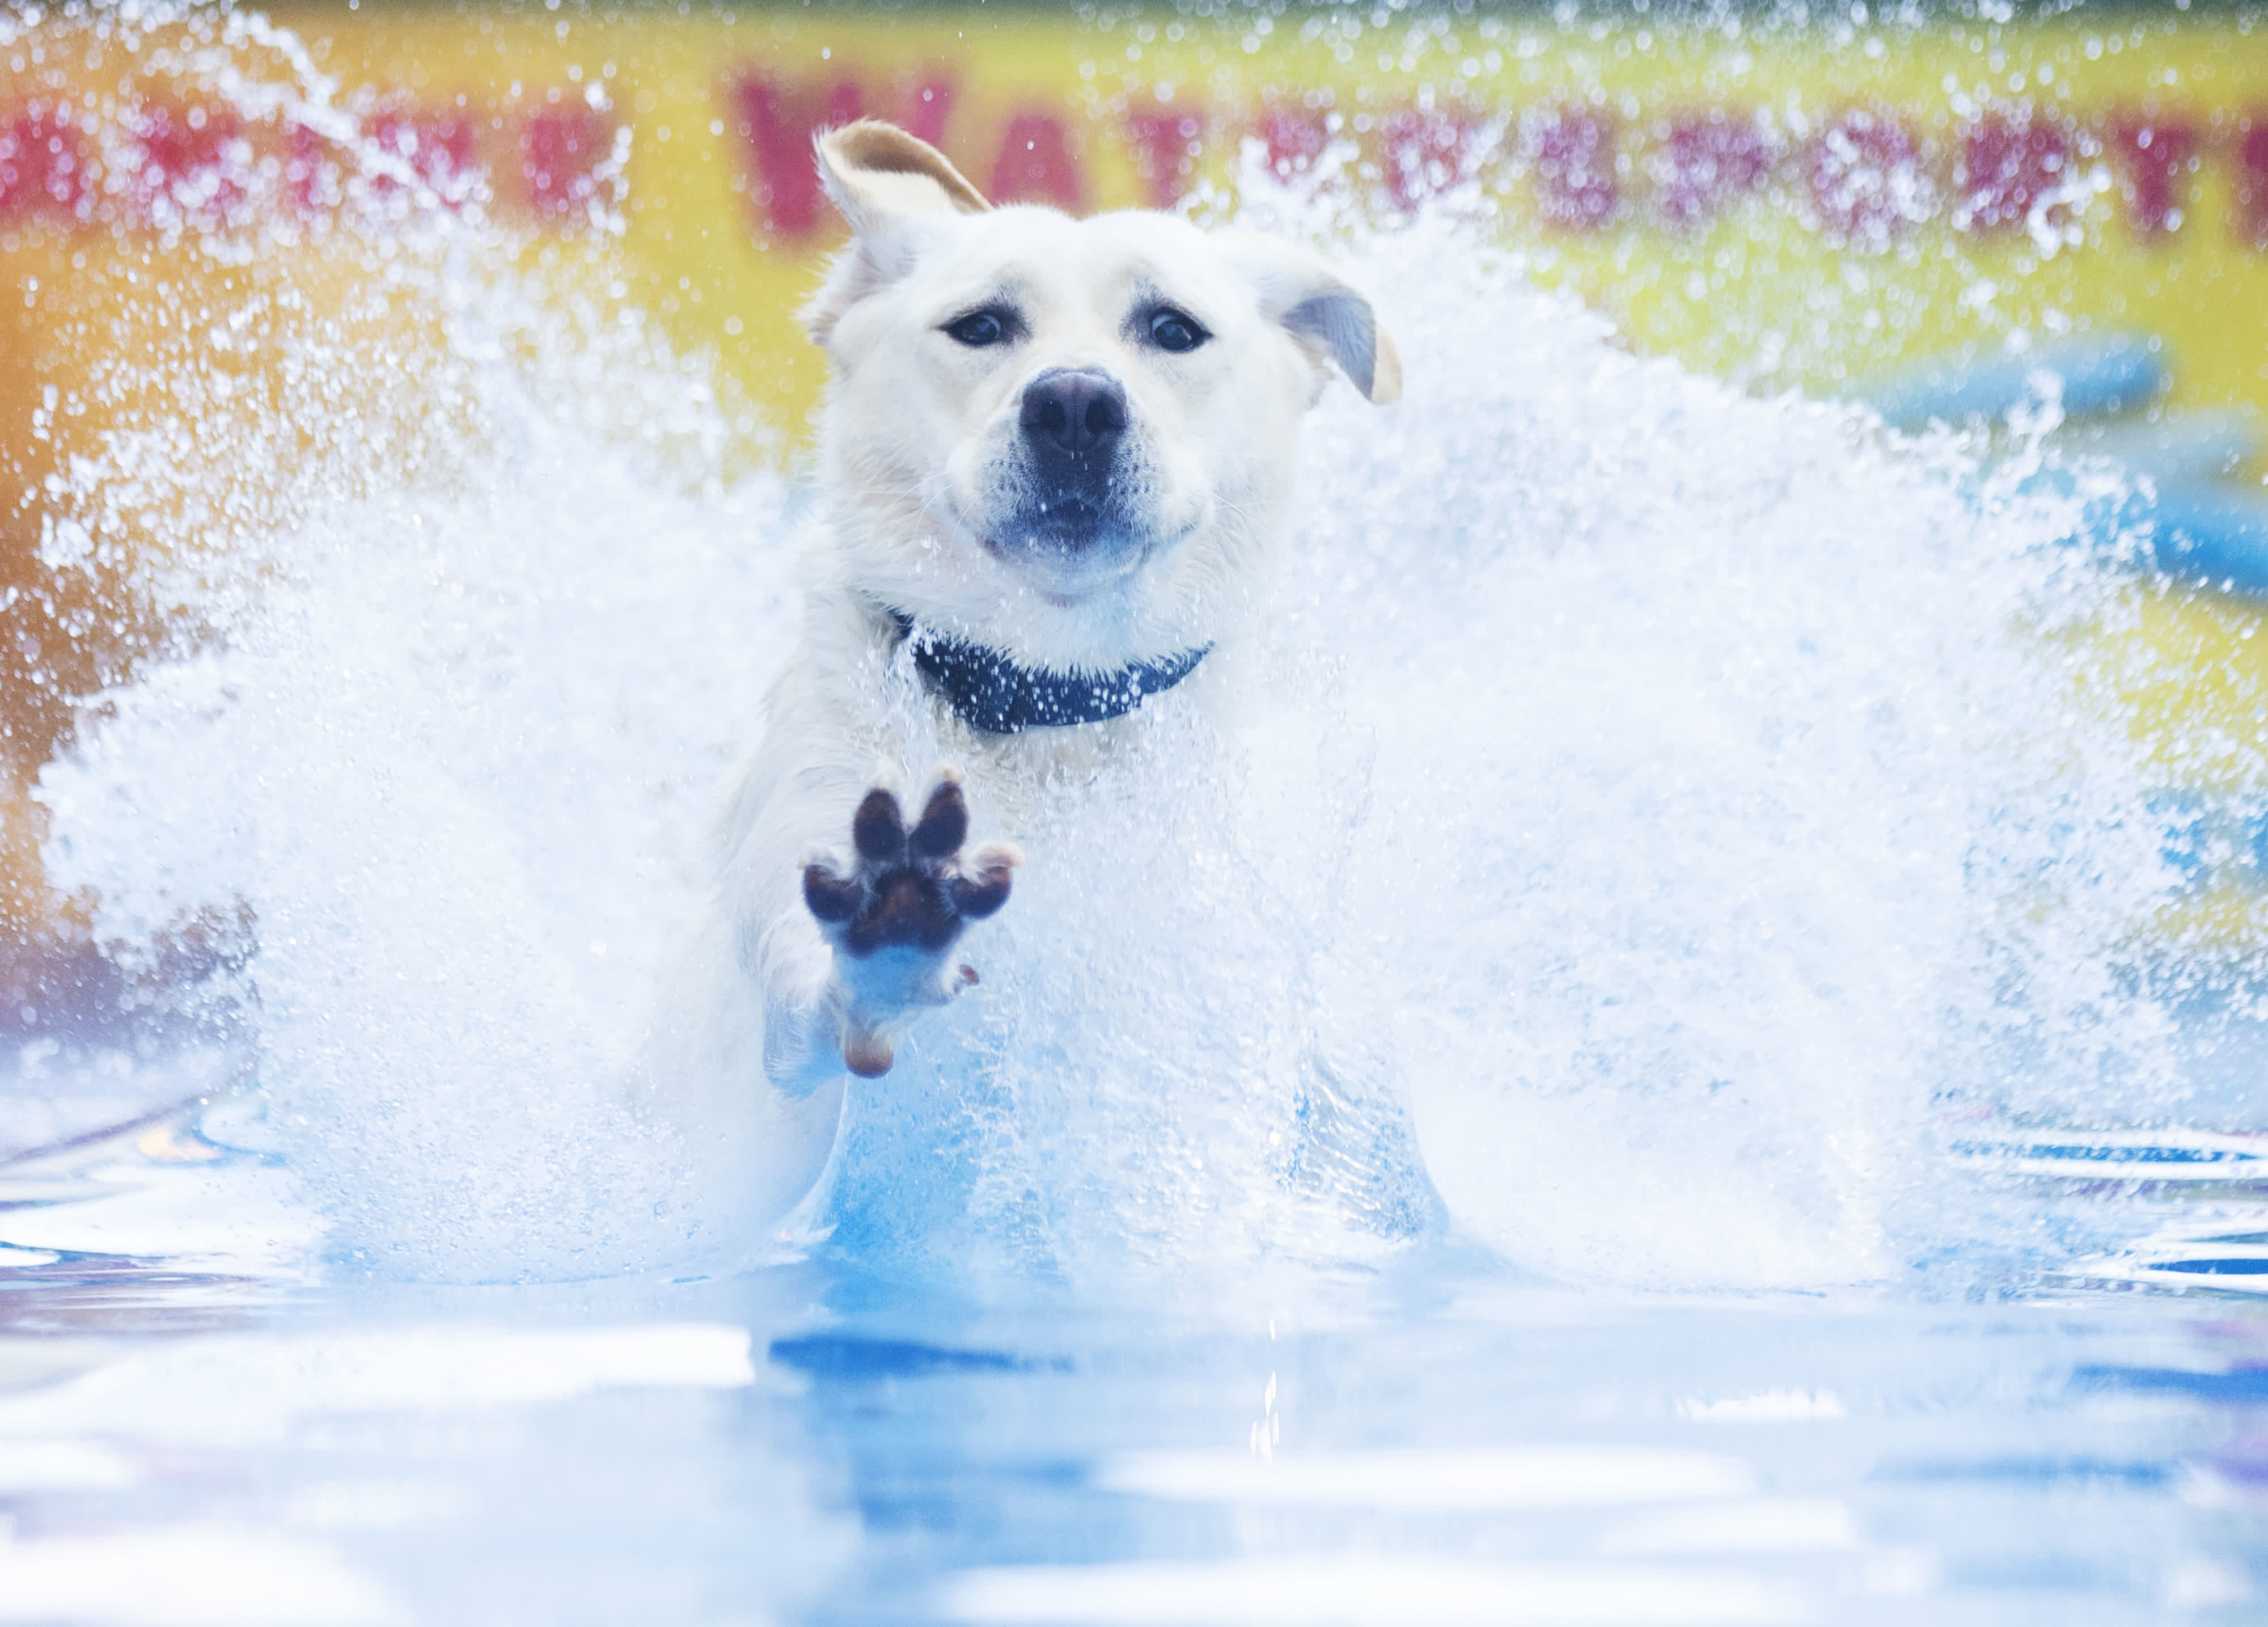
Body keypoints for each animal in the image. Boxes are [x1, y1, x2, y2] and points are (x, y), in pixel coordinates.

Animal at [658, 121, 1388, 1225]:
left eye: (1173, 329)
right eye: (981, 325)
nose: (1075, 402)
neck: (1049, 706)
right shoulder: (811, 833)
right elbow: (813, 995)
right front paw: (892, 931)